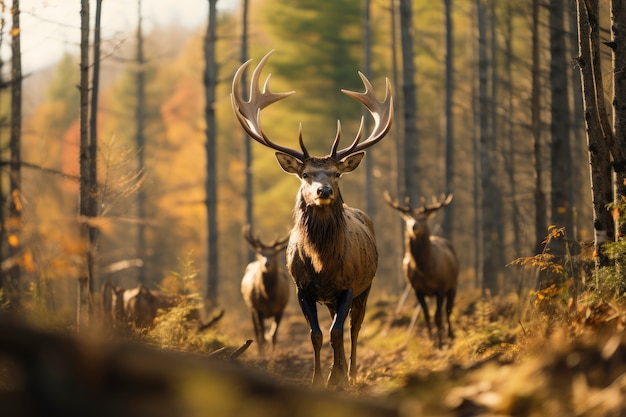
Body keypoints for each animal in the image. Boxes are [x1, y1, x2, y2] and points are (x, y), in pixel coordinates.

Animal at [240, 224, 292, 354]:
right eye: (261, 253)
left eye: (274, 253)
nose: (266, 264)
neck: (269, 297)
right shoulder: (258, 309)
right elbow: (262, 335)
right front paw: (264, 355)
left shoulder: (281, 309)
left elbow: (273, 335)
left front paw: (272, 354)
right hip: (251, 308)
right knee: (257, 332)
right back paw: (260, 352)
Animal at [380, 192, 458, 348]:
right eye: (409, 218)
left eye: (423, 218)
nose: (414, 226)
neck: (425, 271)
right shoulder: (418, 289)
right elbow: (427, 315)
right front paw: (431, 340)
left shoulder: (441, 288)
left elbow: (438, 316)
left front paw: (440, 342)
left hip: (453, 284)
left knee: (448, 309)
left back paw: (449, 334)